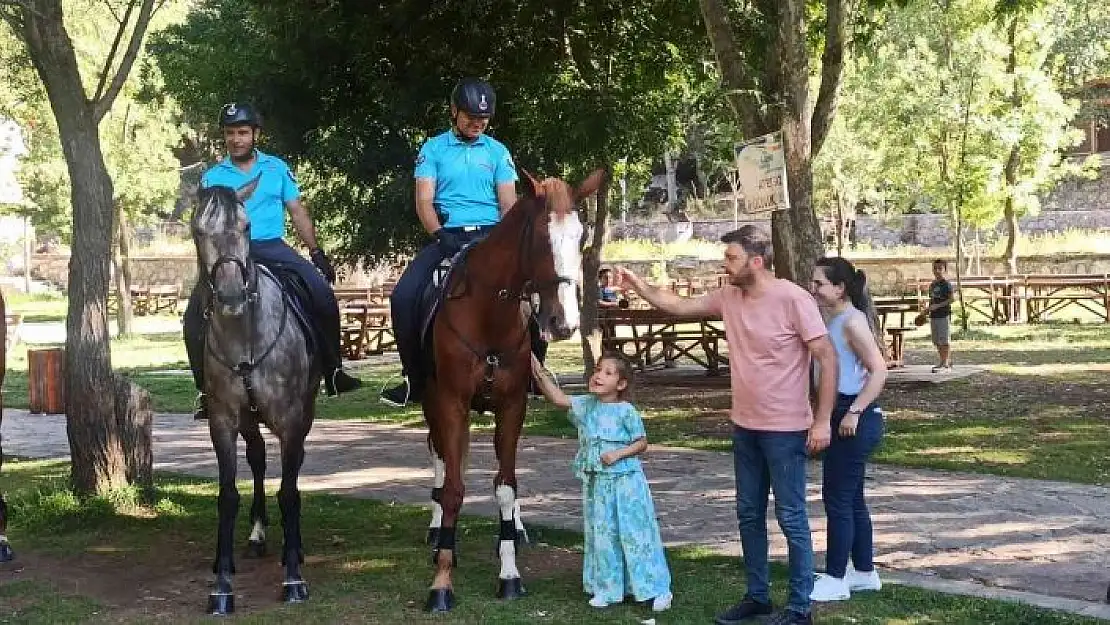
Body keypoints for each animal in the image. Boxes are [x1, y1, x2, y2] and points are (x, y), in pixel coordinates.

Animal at [189, 180, 319, 617]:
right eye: (198, 231)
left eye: (246, 227)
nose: (230, 295)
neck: (245, 336)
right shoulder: (223, 421)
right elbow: (228, 495)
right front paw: (222, 588)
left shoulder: (291, 419)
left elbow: (290, 492)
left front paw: (294, 579)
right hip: (248, 419)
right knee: (259, 459)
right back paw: (253, 538)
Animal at [419, 167, 603, 612]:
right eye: (539, 237)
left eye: (580, 236)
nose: (563, 322)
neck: (489, 313)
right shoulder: (450, 404)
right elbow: (453, 489)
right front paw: (442, 581)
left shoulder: (512, 406)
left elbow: (505, 487)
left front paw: (509, 574)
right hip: (433, 404)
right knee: (440, 458)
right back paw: (437, 532)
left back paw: (515, 530)